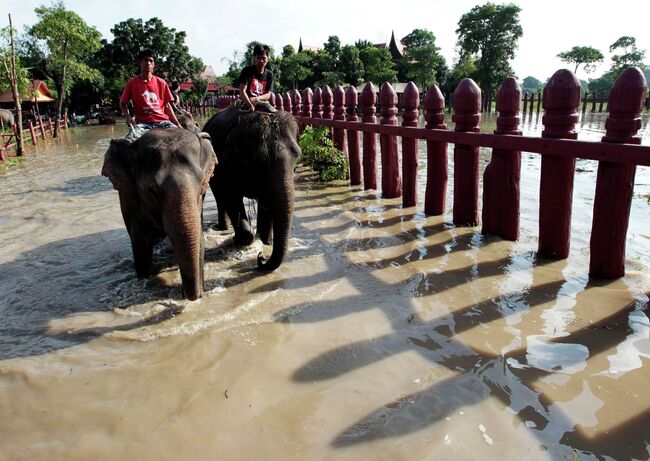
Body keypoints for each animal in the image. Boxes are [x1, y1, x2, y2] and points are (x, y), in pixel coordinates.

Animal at [101, 126, 216, 298]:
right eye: (152, 190)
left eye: (201, 184)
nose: (189, 295)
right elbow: (140, 245)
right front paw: (145, 277)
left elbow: (199, 239)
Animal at [202, 105, 302, 270]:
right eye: (260, 161)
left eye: (298, 157)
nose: (261, 257)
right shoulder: (224, 164)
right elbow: (231, 196)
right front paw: (241, 241)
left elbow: (268, 201)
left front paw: (265, 241)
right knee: (220, 196)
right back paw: (222, 228)